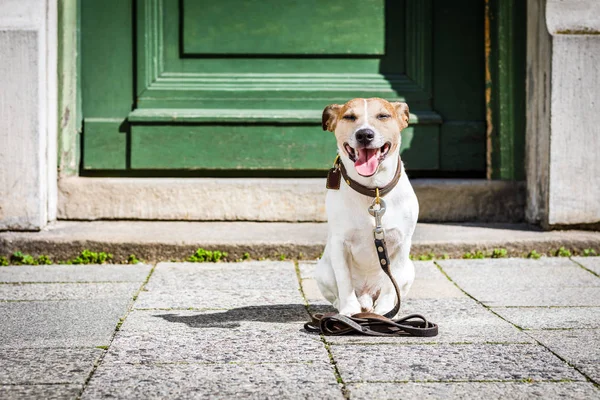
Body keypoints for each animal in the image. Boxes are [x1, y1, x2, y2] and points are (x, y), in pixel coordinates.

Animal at [314, 95, 418, 318]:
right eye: (349, 117)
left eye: (383, 116)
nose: (364, 134)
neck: (374, 190)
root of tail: (367, 294)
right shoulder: (340, 243)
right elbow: (344, 280)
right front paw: (348, 311)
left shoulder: (401, 243)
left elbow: (391, 285)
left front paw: (386, 311)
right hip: (323, 271)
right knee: (338, 293)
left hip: (410, 269)